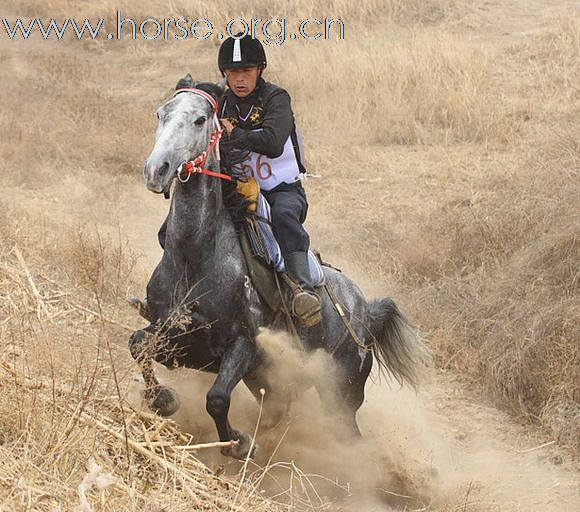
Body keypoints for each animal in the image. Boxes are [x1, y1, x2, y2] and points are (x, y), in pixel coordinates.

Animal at [130, 75, 430, 460]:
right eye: (160, 114)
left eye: (199, 120)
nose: (157, 170)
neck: (193, 259)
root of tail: (366, 309)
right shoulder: (173, 337)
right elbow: (136, 344)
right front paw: (163, 400)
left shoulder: (244, 346)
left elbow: (217, 398)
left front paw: (239, 443)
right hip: (271, 381)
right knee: (279, 410)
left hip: (342, 394)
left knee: (346, 435)